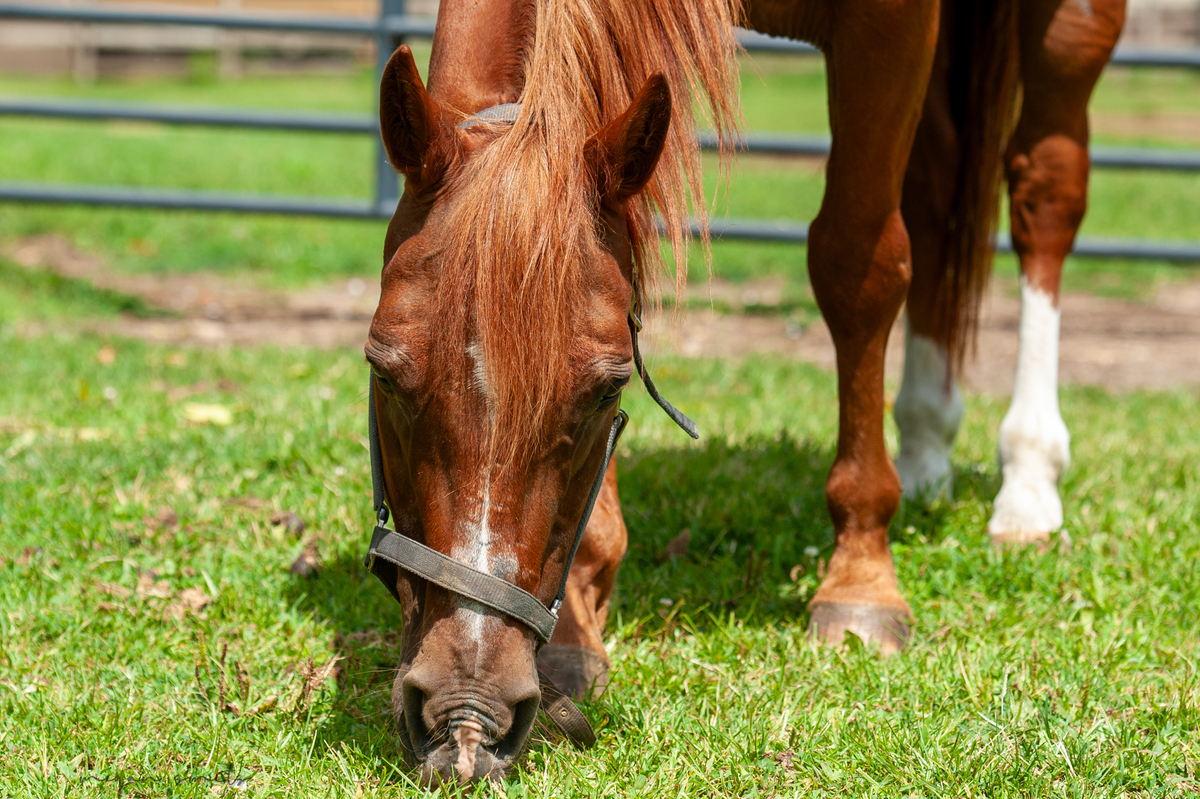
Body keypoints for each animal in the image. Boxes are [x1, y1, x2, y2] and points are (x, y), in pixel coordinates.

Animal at [363, 0, 1123, 783]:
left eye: (607, 392)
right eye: (384, 370)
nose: (467, 714)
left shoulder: (892, 26)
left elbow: (859, 263)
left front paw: (860, 581)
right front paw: (577, 624)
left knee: (1043, 195)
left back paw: (1028, 480)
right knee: (938, 188)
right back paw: (923, 446)